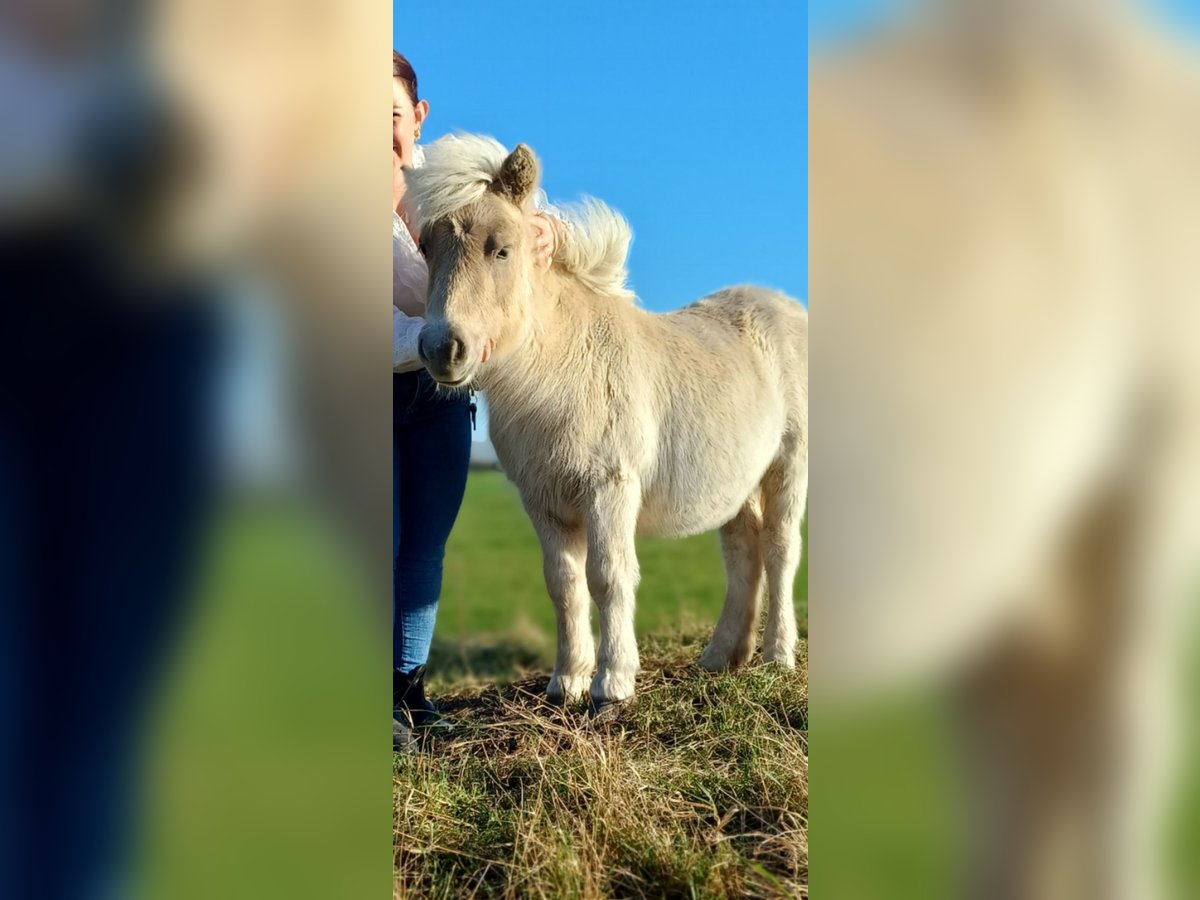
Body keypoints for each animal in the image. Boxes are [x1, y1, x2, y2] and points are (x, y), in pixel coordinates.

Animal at [403, 133, 806, 710]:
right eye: (425, 248)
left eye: (500, 248)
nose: (442, 349)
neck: (559, 374)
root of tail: (784, 306)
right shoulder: (543, 498)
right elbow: (564, 583)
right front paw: (566, 682)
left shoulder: (609, 486)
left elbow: (609, 576)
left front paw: (612, 684)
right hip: (737, 482)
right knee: (742, 553)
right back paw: (721, 658)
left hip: (788, 464)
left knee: (779, 550)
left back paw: (777, 657)